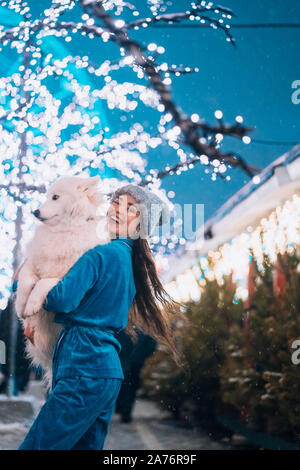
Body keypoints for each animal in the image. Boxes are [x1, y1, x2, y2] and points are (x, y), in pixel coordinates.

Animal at [14, 176, 109, 390]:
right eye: (47, 196)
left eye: (55, 197)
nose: (35, 211)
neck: (64, 231)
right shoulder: (32, 263)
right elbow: (25, 281)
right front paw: (21, 306)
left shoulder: (67, 278)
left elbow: (44, 283)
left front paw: (32, 304)